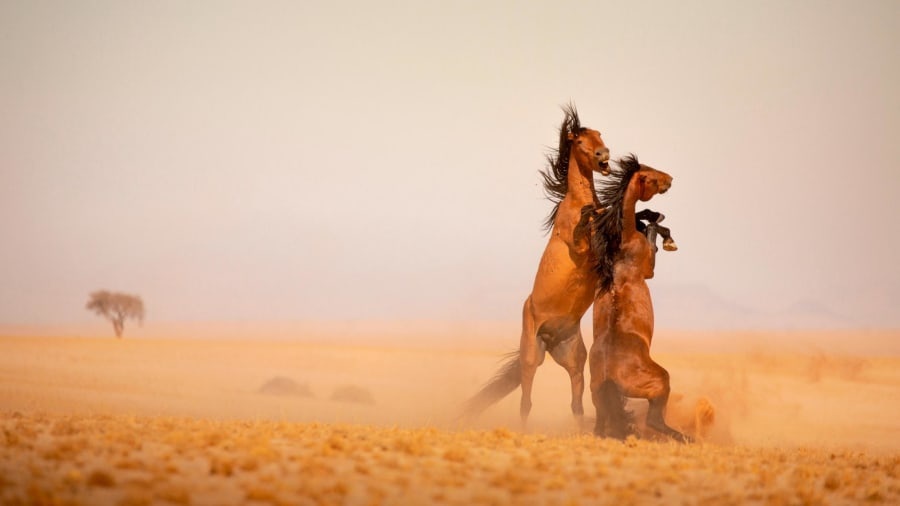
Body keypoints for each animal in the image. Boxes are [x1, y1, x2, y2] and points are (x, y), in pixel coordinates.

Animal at [462, 104, 610, 423]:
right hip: (531, 358)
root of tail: (549, 338)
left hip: (575, 361)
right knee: (526, 402)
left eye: (600, 135)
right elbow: (583, 234)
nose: (603, 155)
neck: (576, 202)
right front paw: (588, 217)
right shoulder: (579, 248)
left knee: (576, 405)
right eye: (581, 141)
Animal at [585, 154, 691, 443]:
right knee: (654, 420)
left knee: (600, 427)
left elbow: (646, 221)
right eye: (651, 175)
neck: (621, 244)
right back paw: (687, 438)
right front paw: (668, 237)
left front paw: (650, 215)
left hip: (598, 399)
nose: (670, 179)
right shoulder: (649, 269)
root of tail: (610, 376)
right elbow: (654, 230)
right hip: (660, 382)